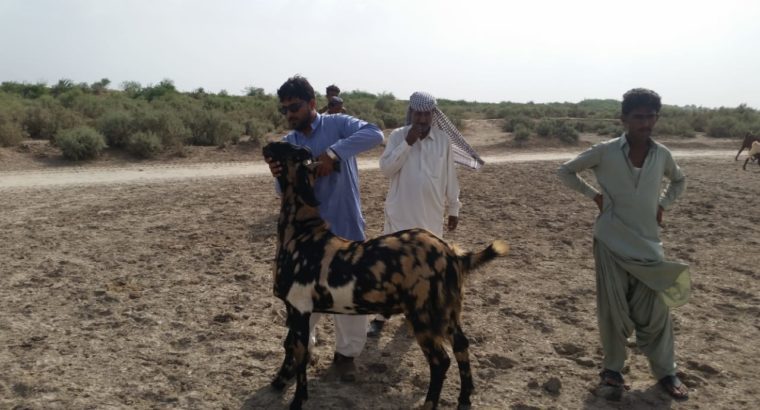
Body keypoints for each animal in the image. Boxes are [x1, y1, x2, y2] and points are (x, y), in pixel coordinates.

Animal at [262, 141, 509, 410]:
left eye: (287, 148)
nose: (267, 145)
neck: (302, 234)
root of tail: (453, 254)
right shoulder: (297, 309)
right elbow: (290, 347)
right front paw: (279, 381)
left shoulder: (300, 307)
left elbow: (300, 355)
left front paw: (297, 400)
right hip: (447, 312)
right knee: (462, 345)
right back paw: (464, 399)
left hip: (423, 316)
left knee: (440, 361)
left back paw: (429, 403)